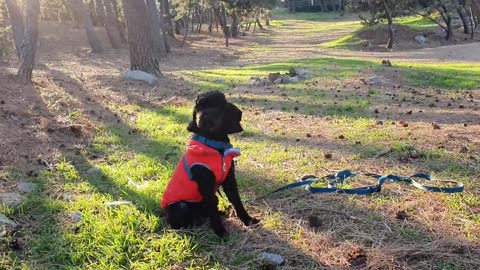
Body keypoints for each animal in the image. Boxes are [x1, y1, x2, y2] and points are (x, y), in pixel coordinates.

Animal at [161, 90, 258, 236]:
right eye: (199, 108)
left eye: (218, 106)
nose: (204, 116)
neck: (214, 144)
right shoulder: (206, 185)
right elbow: (213, 210)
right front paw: (220, 232)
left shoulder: (229, 180)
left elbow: (237, 201)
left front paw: (248, 220)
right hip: (180, 206)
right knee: (180, 222)